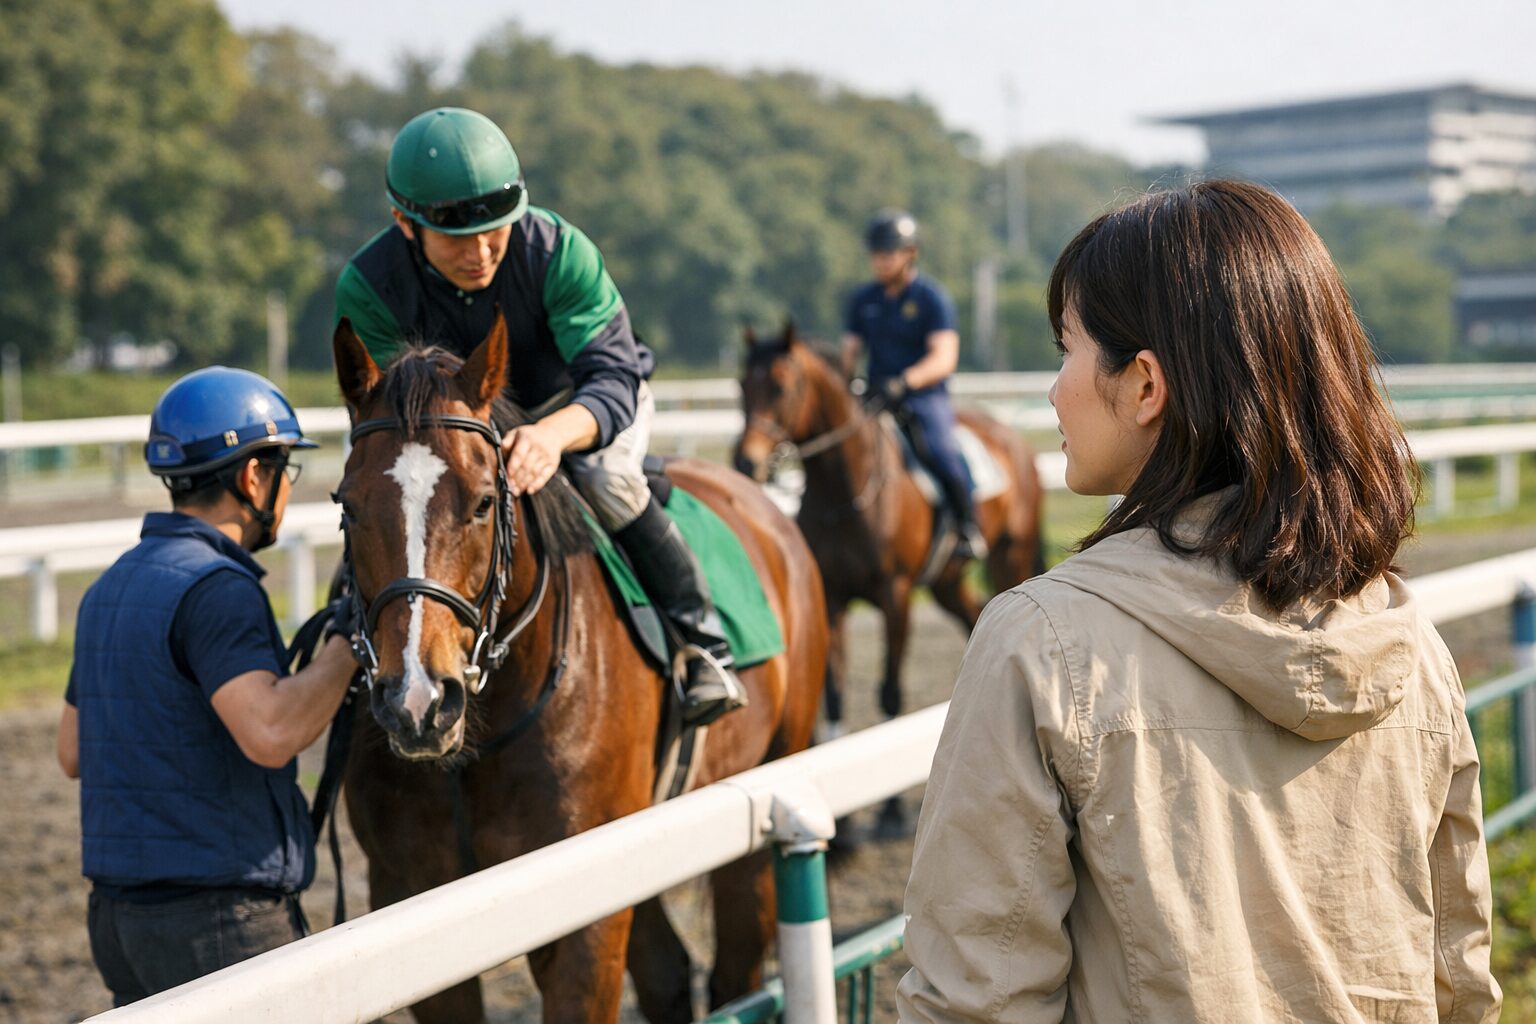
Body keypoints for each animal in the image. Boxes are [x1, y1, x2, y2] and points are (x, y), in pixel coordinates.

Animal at [330, 311, 828, 1024]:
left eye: (483, 502)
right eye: (348, 504)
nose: (418, 704)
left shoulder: (582, 910)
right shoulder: (410, 894)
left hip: (767, 780)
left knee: (737, 967)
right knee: (668, 972)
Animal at [732, 323, 1044, 827]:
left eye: (780, 386)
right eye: (741, 385)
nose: (746, 463)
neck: (845, 488)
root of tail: (1011, 439)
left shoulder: (894, 594)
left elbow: (891, 695)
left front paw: (892, 811)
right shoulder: (834, 599)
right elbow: (836, 696)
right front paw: (842, 820)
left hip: (1008, 560)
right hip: (947, 583)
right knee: (973, 615)